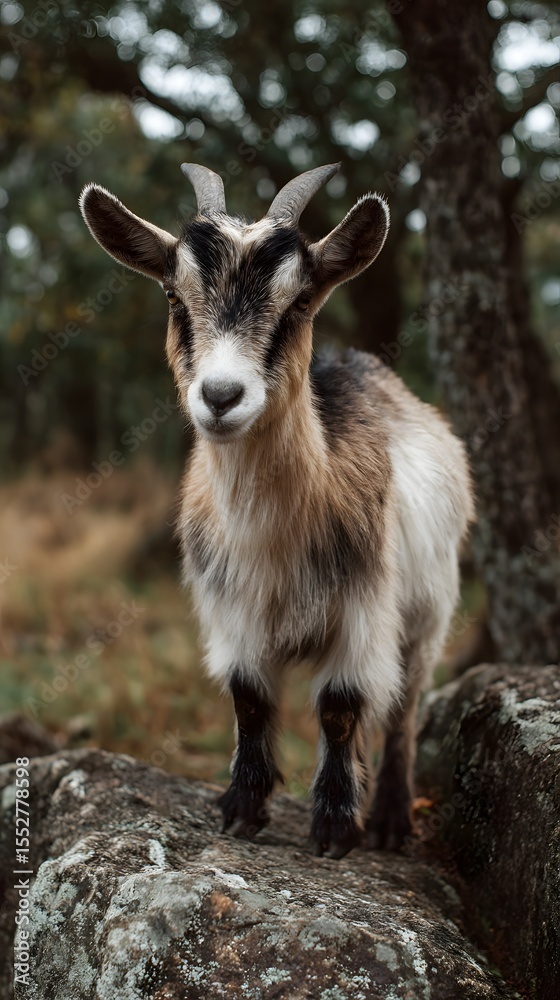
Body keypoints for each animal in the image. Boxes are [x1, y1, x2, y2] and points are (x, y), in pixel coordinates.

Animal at [80, 163, 474, 858]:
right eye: (176, 300)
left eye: (297, 305)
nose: (220, 396)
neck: (271, 535)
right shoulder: (232, 609)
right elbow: (249, 699)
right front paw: (242, 808)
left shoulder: (362, 609)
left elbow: (341, 706)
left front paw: (336, 829)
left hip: (430, 610)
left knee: (405, 704)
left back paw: (391, 819)